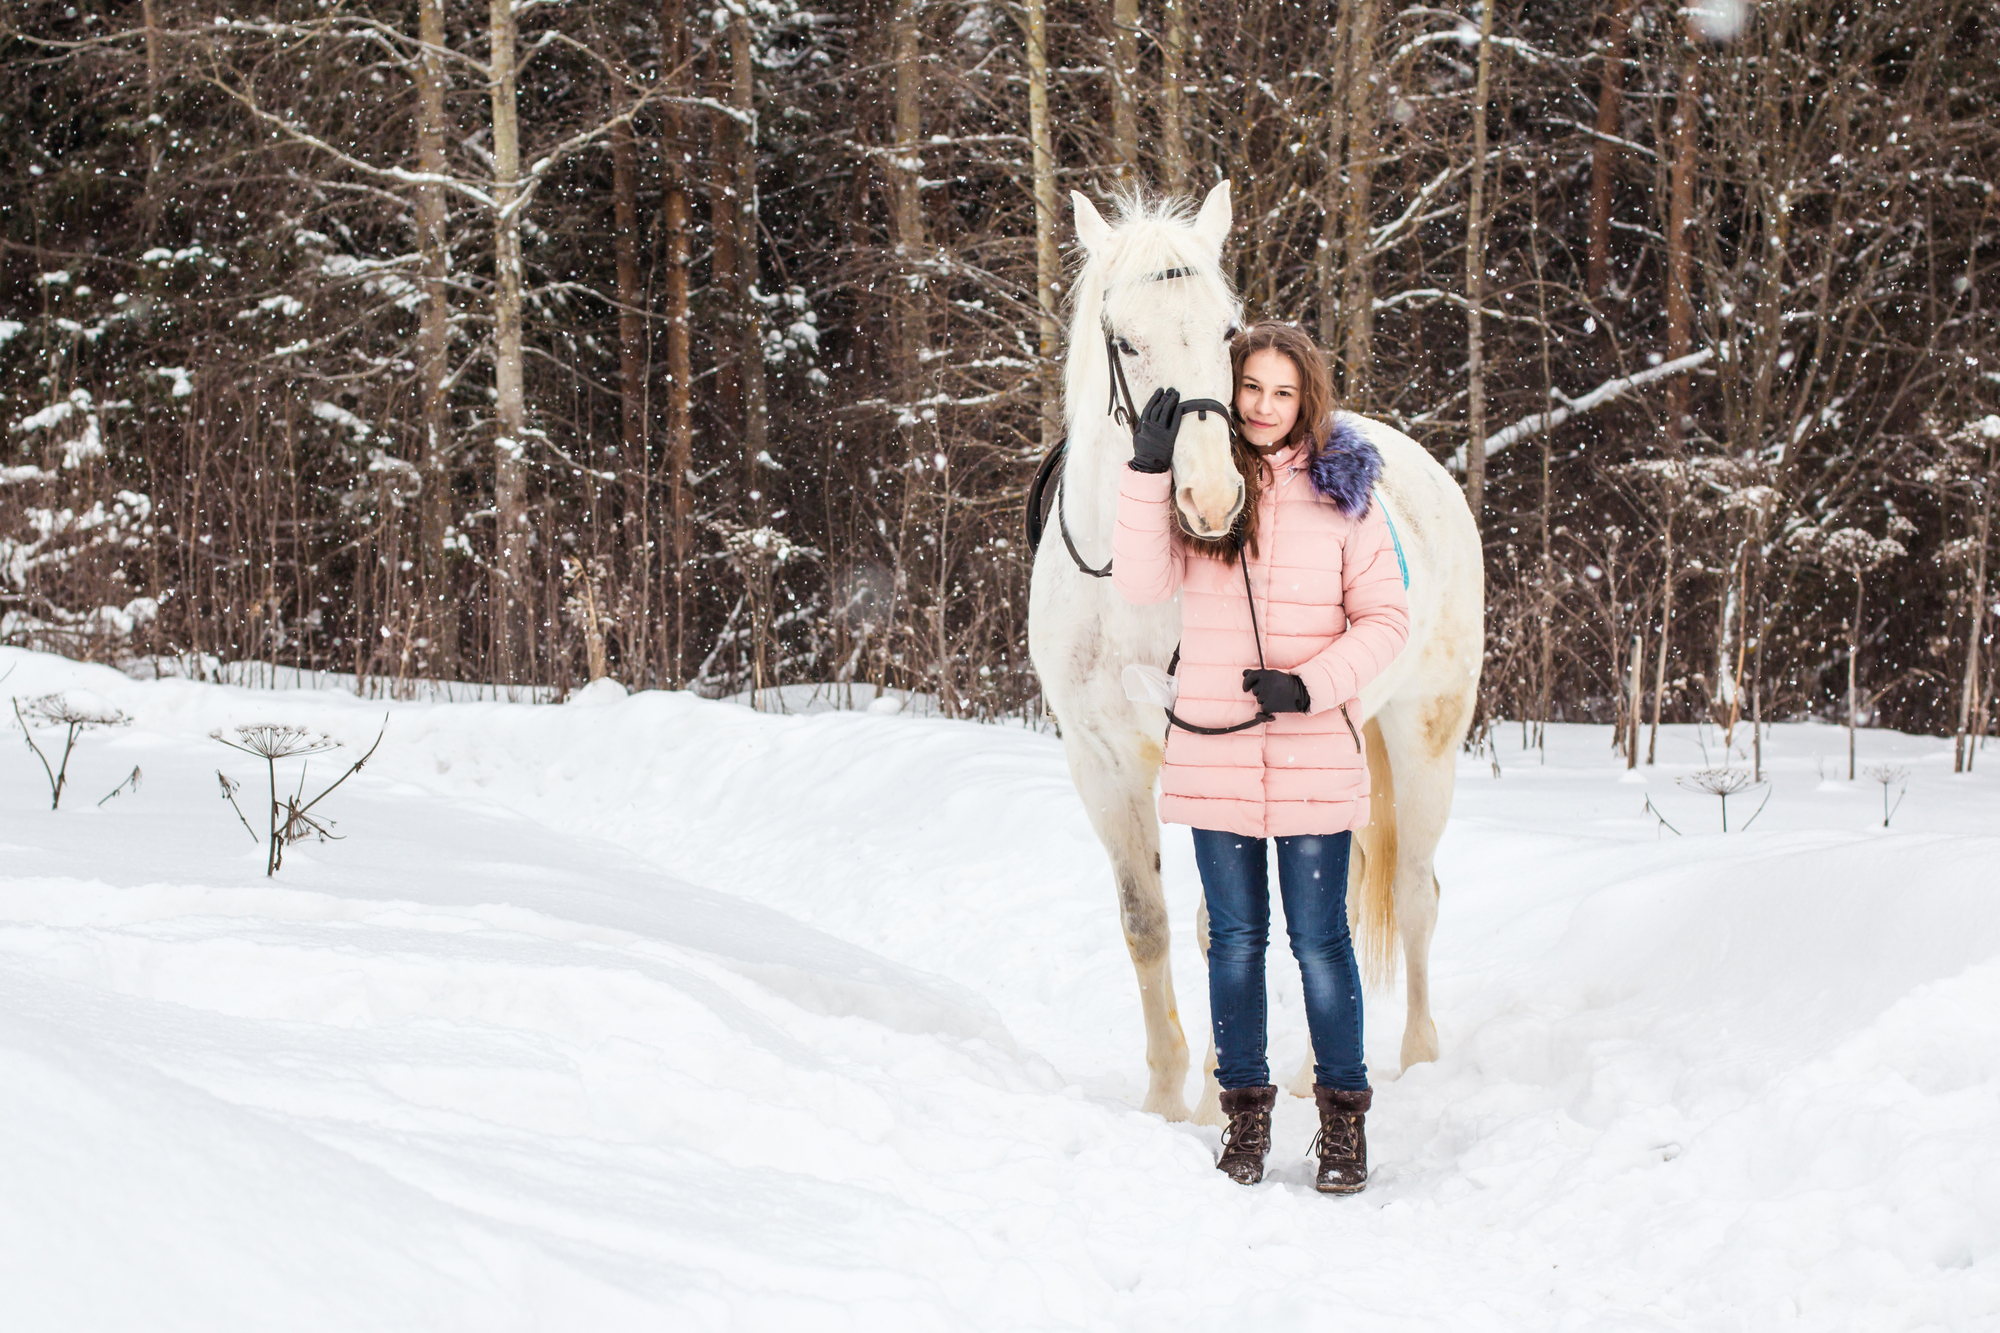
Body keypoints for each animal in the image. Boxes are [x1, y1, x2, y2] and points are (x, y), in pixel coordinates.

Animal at [1032, 182, 1488, 1120]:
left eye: (1227, 330)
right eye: (1125, 340)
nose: (1210, 497)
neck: (1130, 583)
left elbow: (1224, 924)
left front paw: (1216, 1100)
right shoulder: (1099, 760)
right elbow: (1146, 921)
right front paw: (1165, 1101)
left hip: (1426, 735)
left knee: (1416, 892)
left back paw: (1418, 1059)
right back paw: (1317, 1071)